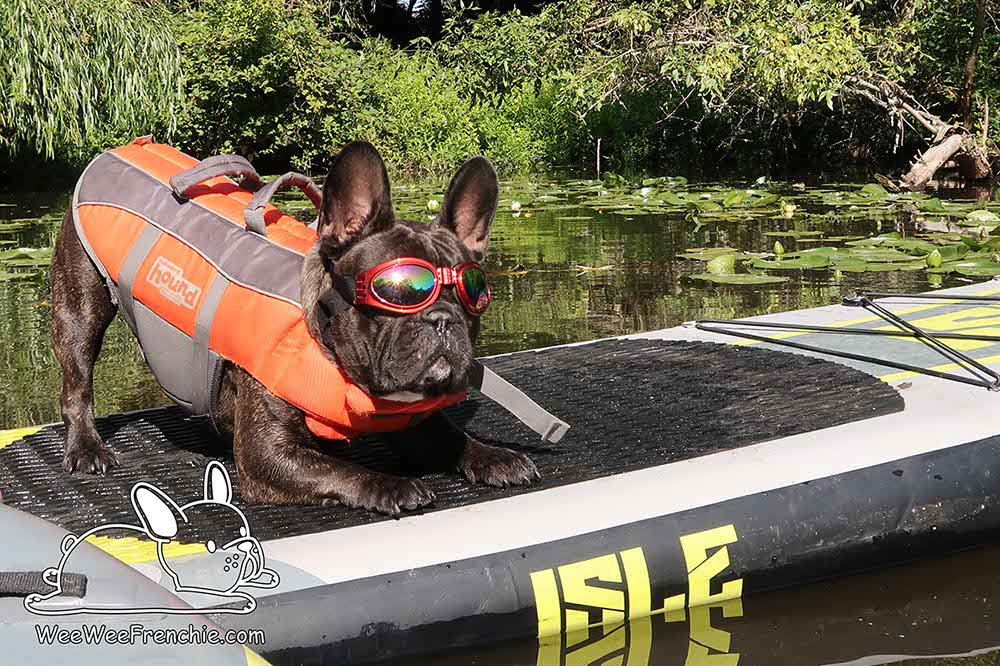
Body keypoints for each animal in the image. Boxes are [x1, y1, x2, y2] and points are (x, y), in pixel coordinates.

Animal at [52, 141, 540, 512]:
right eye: (398, 291)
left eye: (473, 294)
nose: (443, 320)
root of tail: (123, 148)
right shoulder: (268, 456)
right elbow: (341, 470)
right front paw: (391, 485)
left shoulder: (414, 421)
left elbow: (449, 437)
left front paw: (493, 455)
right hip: (78, 309)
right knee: (77, 383)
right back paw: (87, 448)